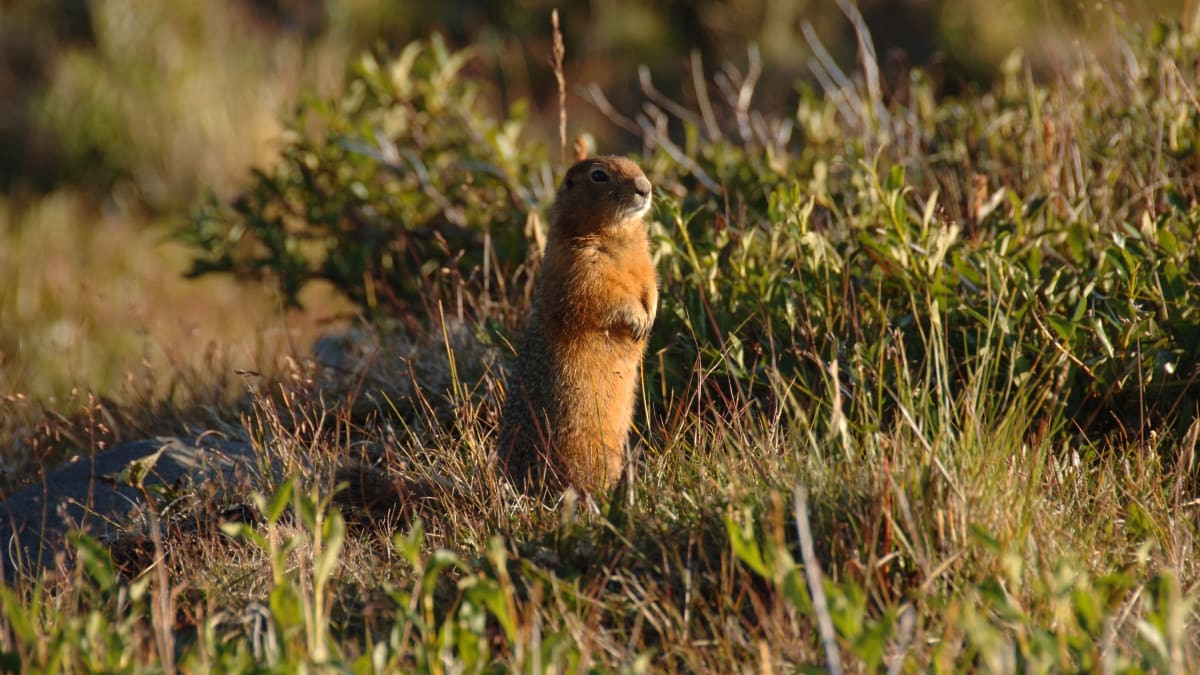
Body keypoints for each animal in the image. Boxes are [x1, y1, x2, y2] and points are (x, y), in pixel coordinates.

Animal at [496, 155, 657, 495]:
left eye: (636, 165)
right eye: (598, 176)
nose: (645, 188)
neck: (618, 235)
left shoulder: (645, 260)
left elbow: (650, 283)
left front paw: (649, 315)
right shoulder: (582, 265)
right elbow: (602, 295)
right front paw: (637, 320)